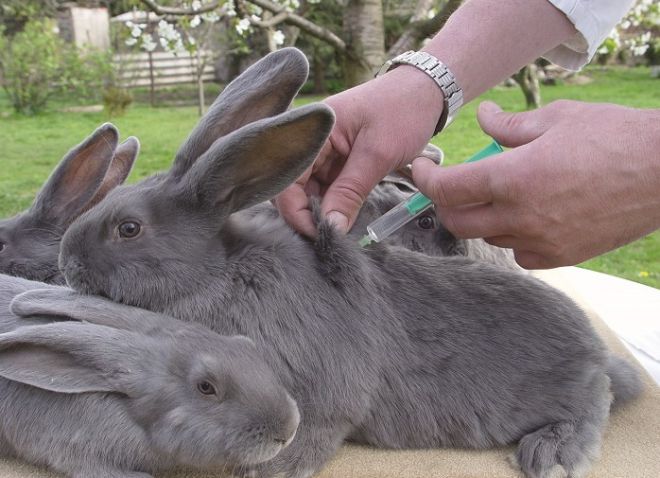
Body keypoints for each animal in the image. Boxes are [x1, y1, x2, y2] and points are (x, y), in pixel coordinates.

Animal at [60, 49, 640, 478]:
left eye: (128, 228)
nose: (66, 262)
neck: (222, 271)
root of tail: (596, 354)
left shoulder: (321, 393)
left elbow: (313, 429)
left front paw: (276, 467)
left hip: (579, 396)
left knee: (593, 411)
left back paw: (550, 453)